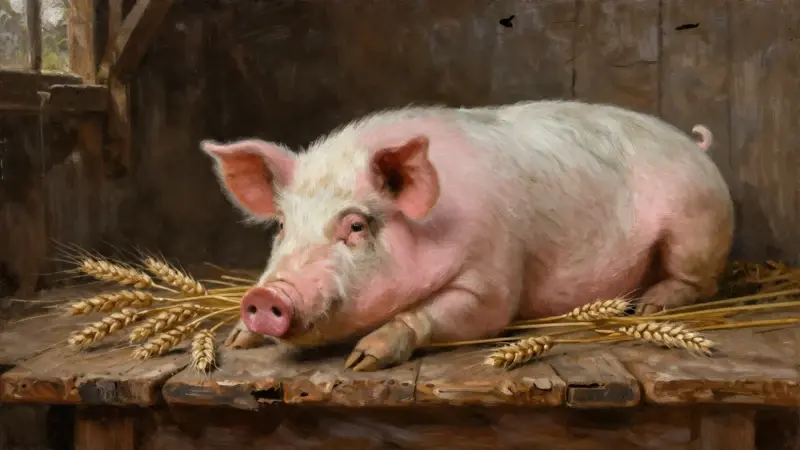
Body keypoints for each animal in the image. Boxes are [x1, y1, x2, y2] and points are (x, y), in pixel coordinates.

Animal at [201, 100, 734, 372]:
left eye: (355, 225)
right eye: (283, 225)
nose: (266, 297)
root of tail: (696, 146)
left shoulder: (493, 278)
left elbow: (460, 315)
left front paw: (362, 359)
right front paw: (236, 341)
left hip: (695, 225)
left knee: (698, 282)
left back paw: (647, 308)